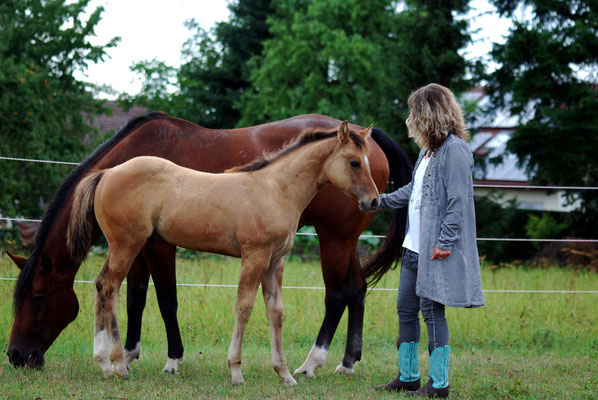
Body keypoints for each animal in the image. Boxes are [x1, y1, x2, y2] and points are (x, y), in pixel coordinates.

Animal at [8, 111, 412, 376]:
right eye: (353, 163)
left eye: (37, 297)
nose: (16, 356)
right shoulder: (149, 246)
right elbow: (146, 298)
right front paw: (145, 355)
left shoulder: (161, 248)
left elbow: (166, 299)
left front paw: (170, 359)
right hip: (341, 239)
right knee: (354, 290)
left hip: (336, 237)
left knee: (341, 293)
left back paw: (317, 364)